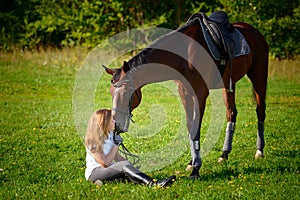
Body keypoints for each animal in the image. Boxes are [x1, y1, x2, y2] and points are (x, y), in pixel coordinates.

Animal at [102, 10, 268, 178]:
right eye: (111, 92)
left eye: (126, 92)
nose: (115, 122)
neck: (184, 54)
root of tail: (255, 32)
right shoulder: (184, 92)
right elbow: (190, 126)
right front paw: (192, 163)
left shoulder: (200, 93)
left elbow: (196, 127)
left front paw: (196, 169)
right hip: (228, 85)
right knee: (231, 113)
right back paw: (224, 154)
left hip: (259, 78)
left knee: (260, 111)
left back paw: (259, 151)